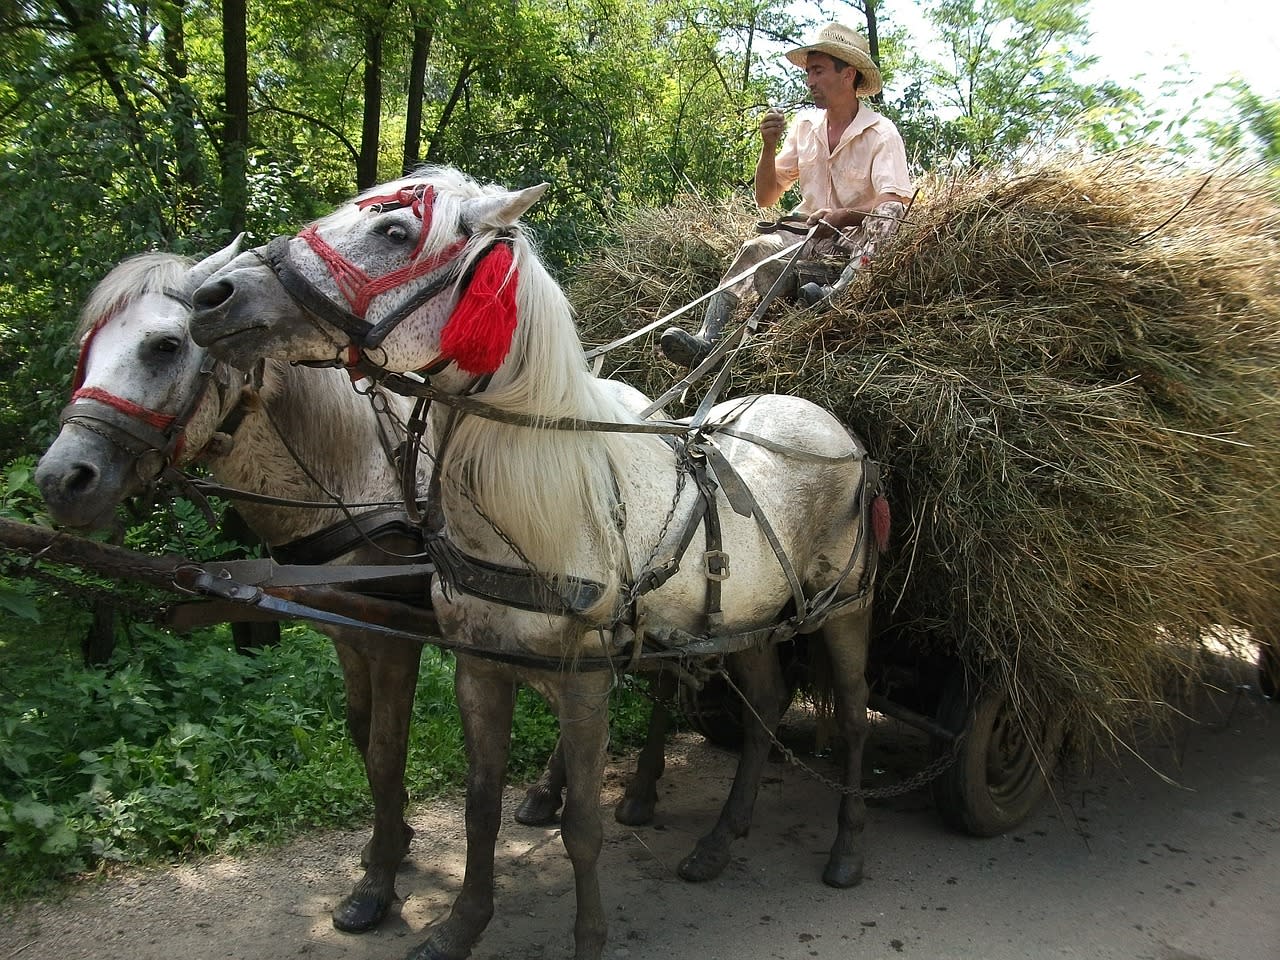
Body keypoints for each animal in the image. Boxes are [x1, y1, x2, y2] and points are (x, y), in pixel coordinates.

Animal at [35, 244, 432, 936]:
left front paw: (375, 886)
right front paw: (391, 840)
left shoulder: (393, 640)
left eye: (166, 346)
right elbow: (361, 734)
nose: (61, 479)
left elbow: (386, 751)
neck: (363, 473)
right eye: (87, 350)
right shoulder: (348, 635)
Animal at [192, 168, 880, 960]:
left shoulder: (583, 682)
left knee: (853, 716)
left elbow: (582, 826)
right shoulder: (480, 667)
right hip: (747, 620)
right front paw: (460, 926)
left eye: (395, 230)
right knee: (766, 701)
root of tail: (832, 428)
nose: (212, 296)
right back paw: (718, 841)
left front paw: (587, 936)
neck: (541, 500)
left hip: (848, 608)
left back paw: (847, 849)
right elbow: (479, 807)